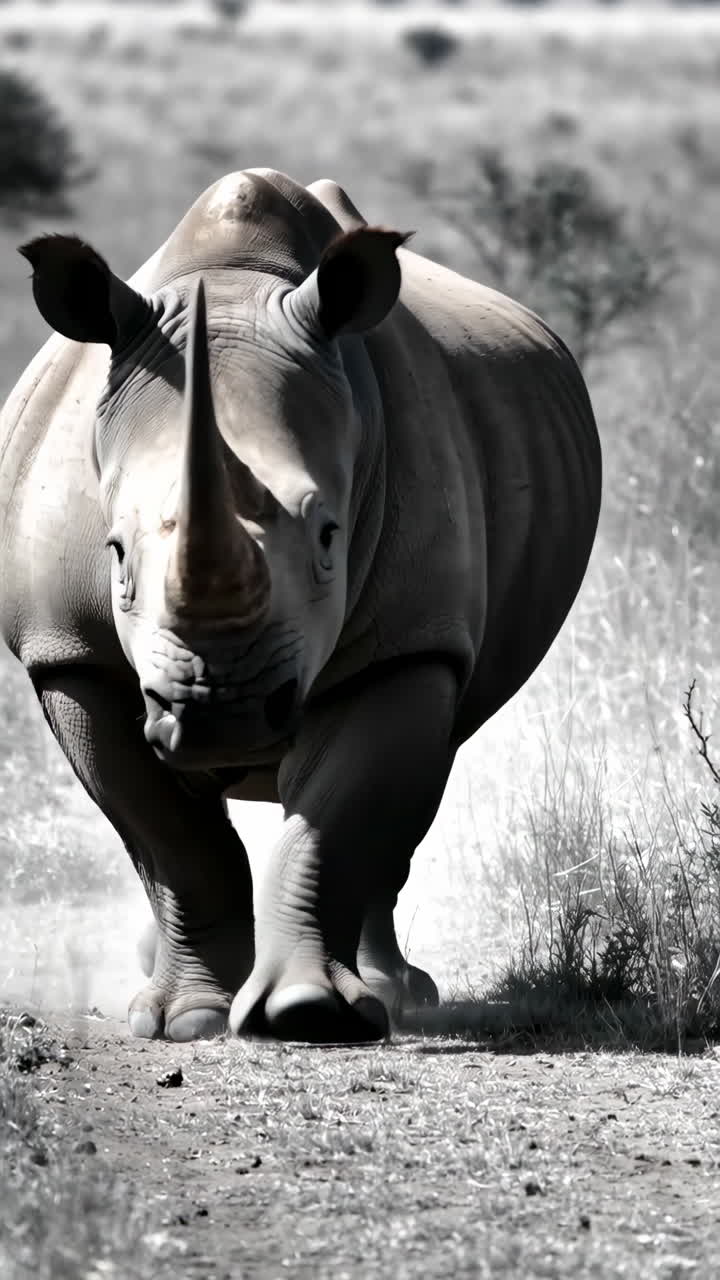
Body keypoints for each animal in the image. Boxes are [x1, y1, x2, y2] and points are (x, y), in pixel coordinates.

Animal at [0, 169, 601, 1043]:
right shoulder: (68, 654)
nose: (222, 713)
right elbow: (168, 835)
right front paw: (184, 1021)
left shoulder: (409, 643)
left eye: (328, 538)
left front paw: (308, 1013)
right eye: (114, 555)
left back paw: (399, 992)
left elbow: (337, 817)